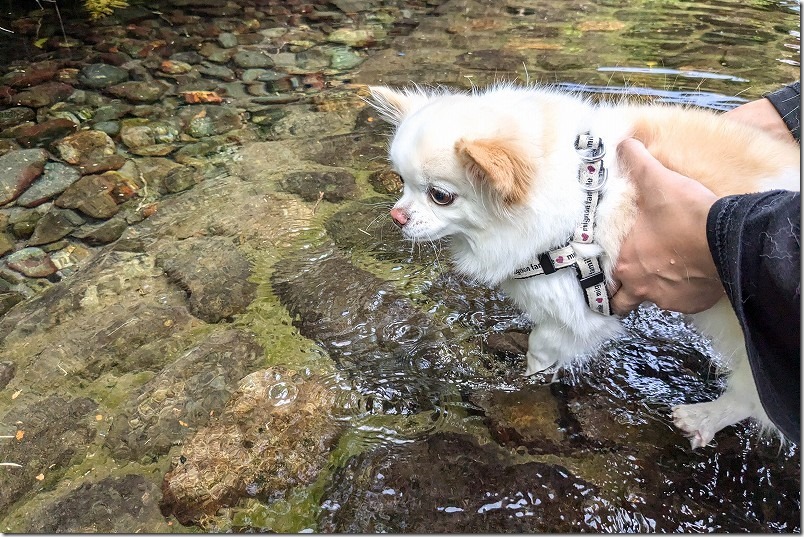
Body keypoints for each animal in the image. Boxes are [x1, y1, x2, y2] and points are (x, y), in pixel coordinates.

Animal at [370, 82, 796, 444]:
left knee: (750, 395)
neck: (586, 196)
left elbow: (543, 344)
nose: (397, 216)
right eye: (401, 182)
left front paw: (530, 377)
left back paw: (704, 417)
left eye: (440, 196)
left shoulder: (580, 305)